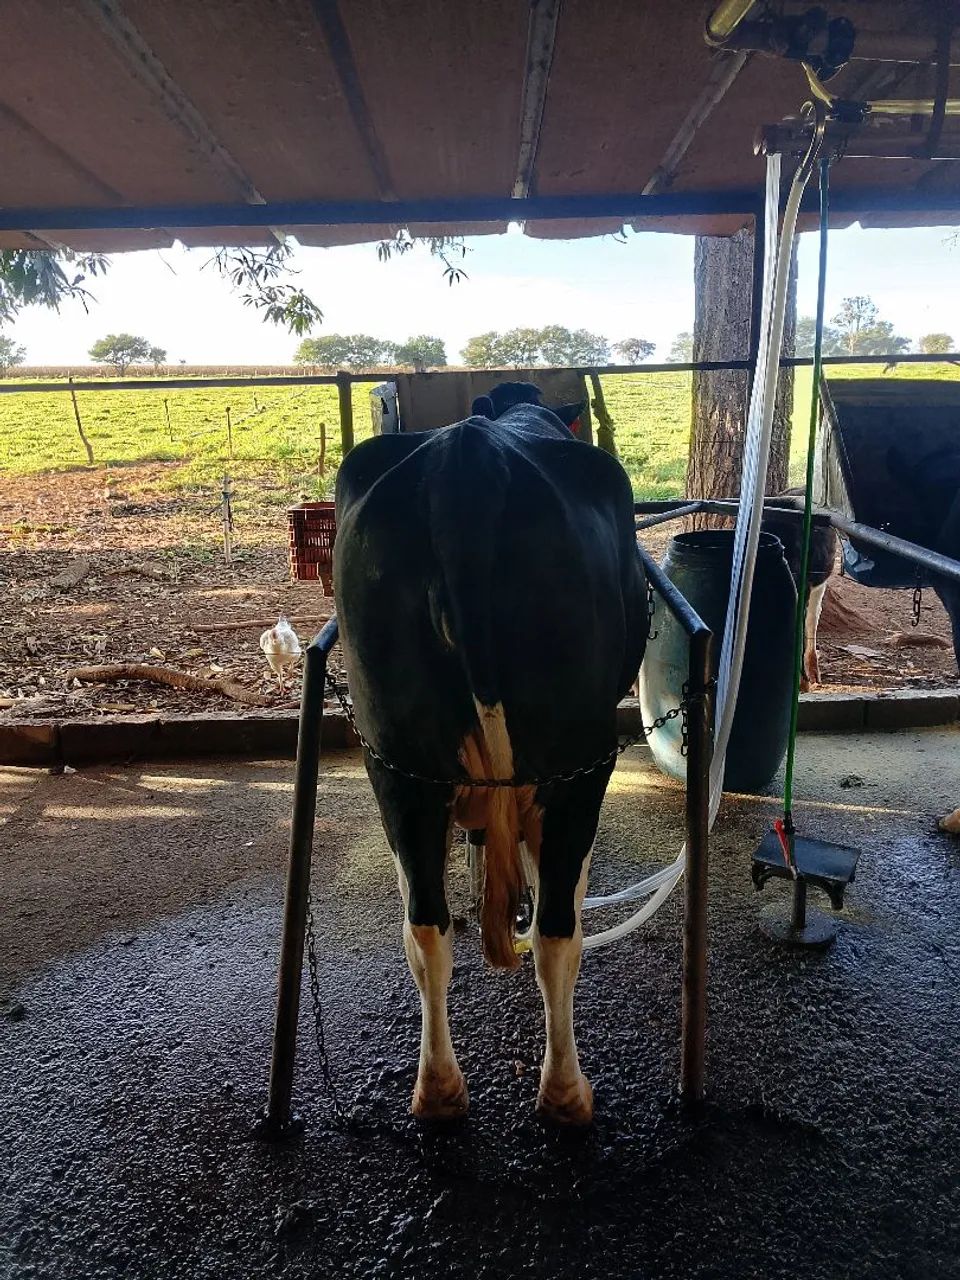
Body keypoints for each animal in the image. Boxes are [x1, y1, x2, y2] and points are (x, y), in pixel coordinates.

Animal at [334, 383, 647, 1124]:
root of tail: (466, 458)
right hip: (580, 762)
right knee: (559, 928)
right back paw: (566, 1094)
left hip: (392, 765)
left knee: (425, 925)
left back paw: (439, 1091)